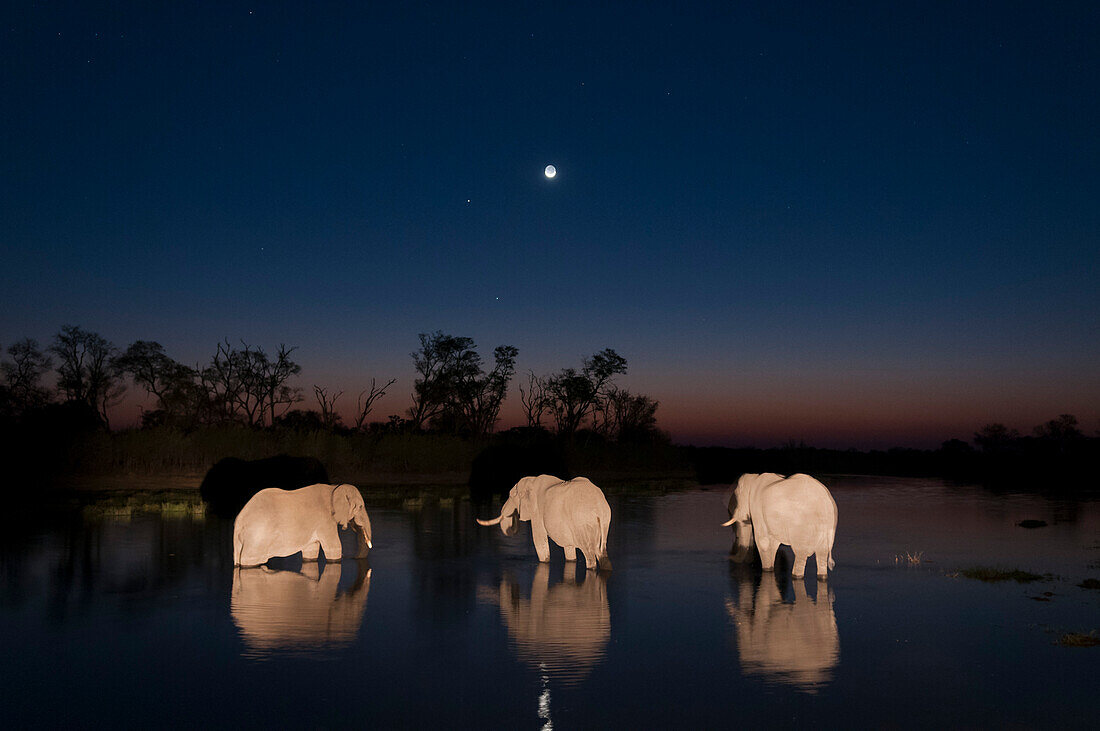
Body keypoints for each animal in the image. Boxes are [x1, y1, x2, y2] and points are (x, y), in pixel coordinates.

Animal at [233, 481, 374, 567]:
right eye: (360, 507)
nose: (353, 558)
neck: (334, 488)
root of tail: (240, 520)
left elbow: (311, 549)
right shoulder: (325, 521)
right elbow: (334, 547)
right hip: (257, 538)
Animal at [473, 472, 611, 571]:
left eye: (512, 496)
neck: (532, 480)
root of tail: (598, 507)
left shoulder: (537, 511)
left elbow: (539, 539)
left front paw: (544, 562)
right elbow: (568, 547)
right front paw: (571, 561)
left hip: (582, 523)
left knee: (590, 554)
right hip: (604, 521)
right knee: (602, 552)